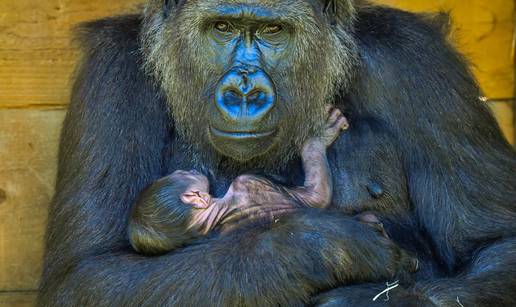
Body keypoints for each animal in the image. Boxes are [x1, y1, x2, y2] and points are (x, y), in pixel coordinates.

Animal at [127, 108, 380, 255]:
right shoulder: (250, 183)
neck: (215, 214)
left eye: (179, 172)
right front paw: (318, 137)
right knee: (369, 218)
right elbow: (317, 199)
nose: (189, 169)